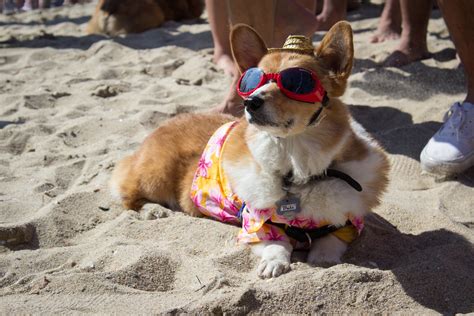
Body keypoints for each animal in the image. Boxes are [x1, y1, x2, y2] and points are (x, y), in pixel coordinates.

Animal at [110, 22, 388, 278]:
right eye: (254, 80)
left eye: (298, 84)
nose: (250, 102)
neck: (295, 162)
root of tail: (161, 125)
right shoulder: (254, 224)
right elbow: (276, 243)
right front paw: (274, 263)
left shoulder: (348, 224)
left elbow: (329, 243)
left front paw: (323, 260)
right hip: (156, 176)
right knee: (130, 196)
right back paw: (154, 210)